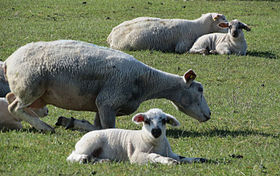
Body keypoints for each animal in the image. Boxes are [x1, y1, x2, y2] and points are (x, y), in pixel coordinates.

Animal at [4, 40, 211, 132]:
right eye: (200, 89)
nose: (209, 115)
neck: (145, 81)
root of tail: (8, 61)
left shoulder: (101, 104)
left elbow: (97, 127)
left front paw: (71, 122)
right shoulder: (108, 101)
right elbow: (105, 129)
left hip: (32, 92)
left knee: (10, 99)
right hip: (30, 86)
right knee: (14, 107)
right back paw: (44, 127)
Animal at [65, 108, 206, 165]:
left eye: (164, 120)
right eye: (146, 121)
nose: (156, 131)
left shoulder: (169, 152)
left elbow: (181, 157)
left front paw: (199, 159)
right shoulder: (136, 156)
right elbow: (153, 156)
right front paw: (168, 162)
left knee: (93, 157)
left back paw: (102, 161)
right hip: (89, 144)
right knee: (71, 156)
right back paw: (83, 159)